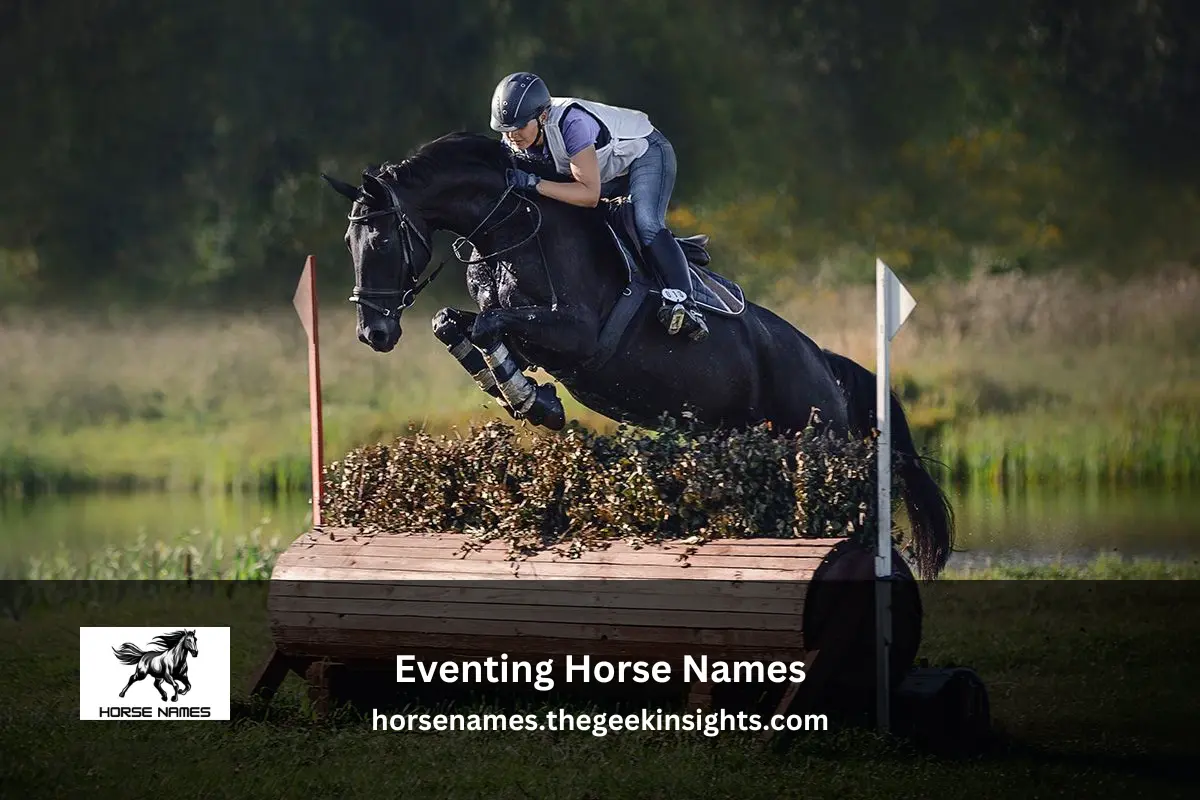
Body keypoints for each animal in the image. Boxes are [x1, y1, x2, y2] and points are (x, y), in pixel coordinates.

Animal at [320, 131, 953, 579]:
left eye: (380, 238)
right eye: (348, 241)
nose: (372, 332)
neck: (513, 225)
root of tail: (825, 363)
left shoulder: (575, 333)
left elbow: (489, 324)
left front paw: (533, 398)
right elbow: (453, 322)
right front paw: (526, 396)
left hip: (815, 441)